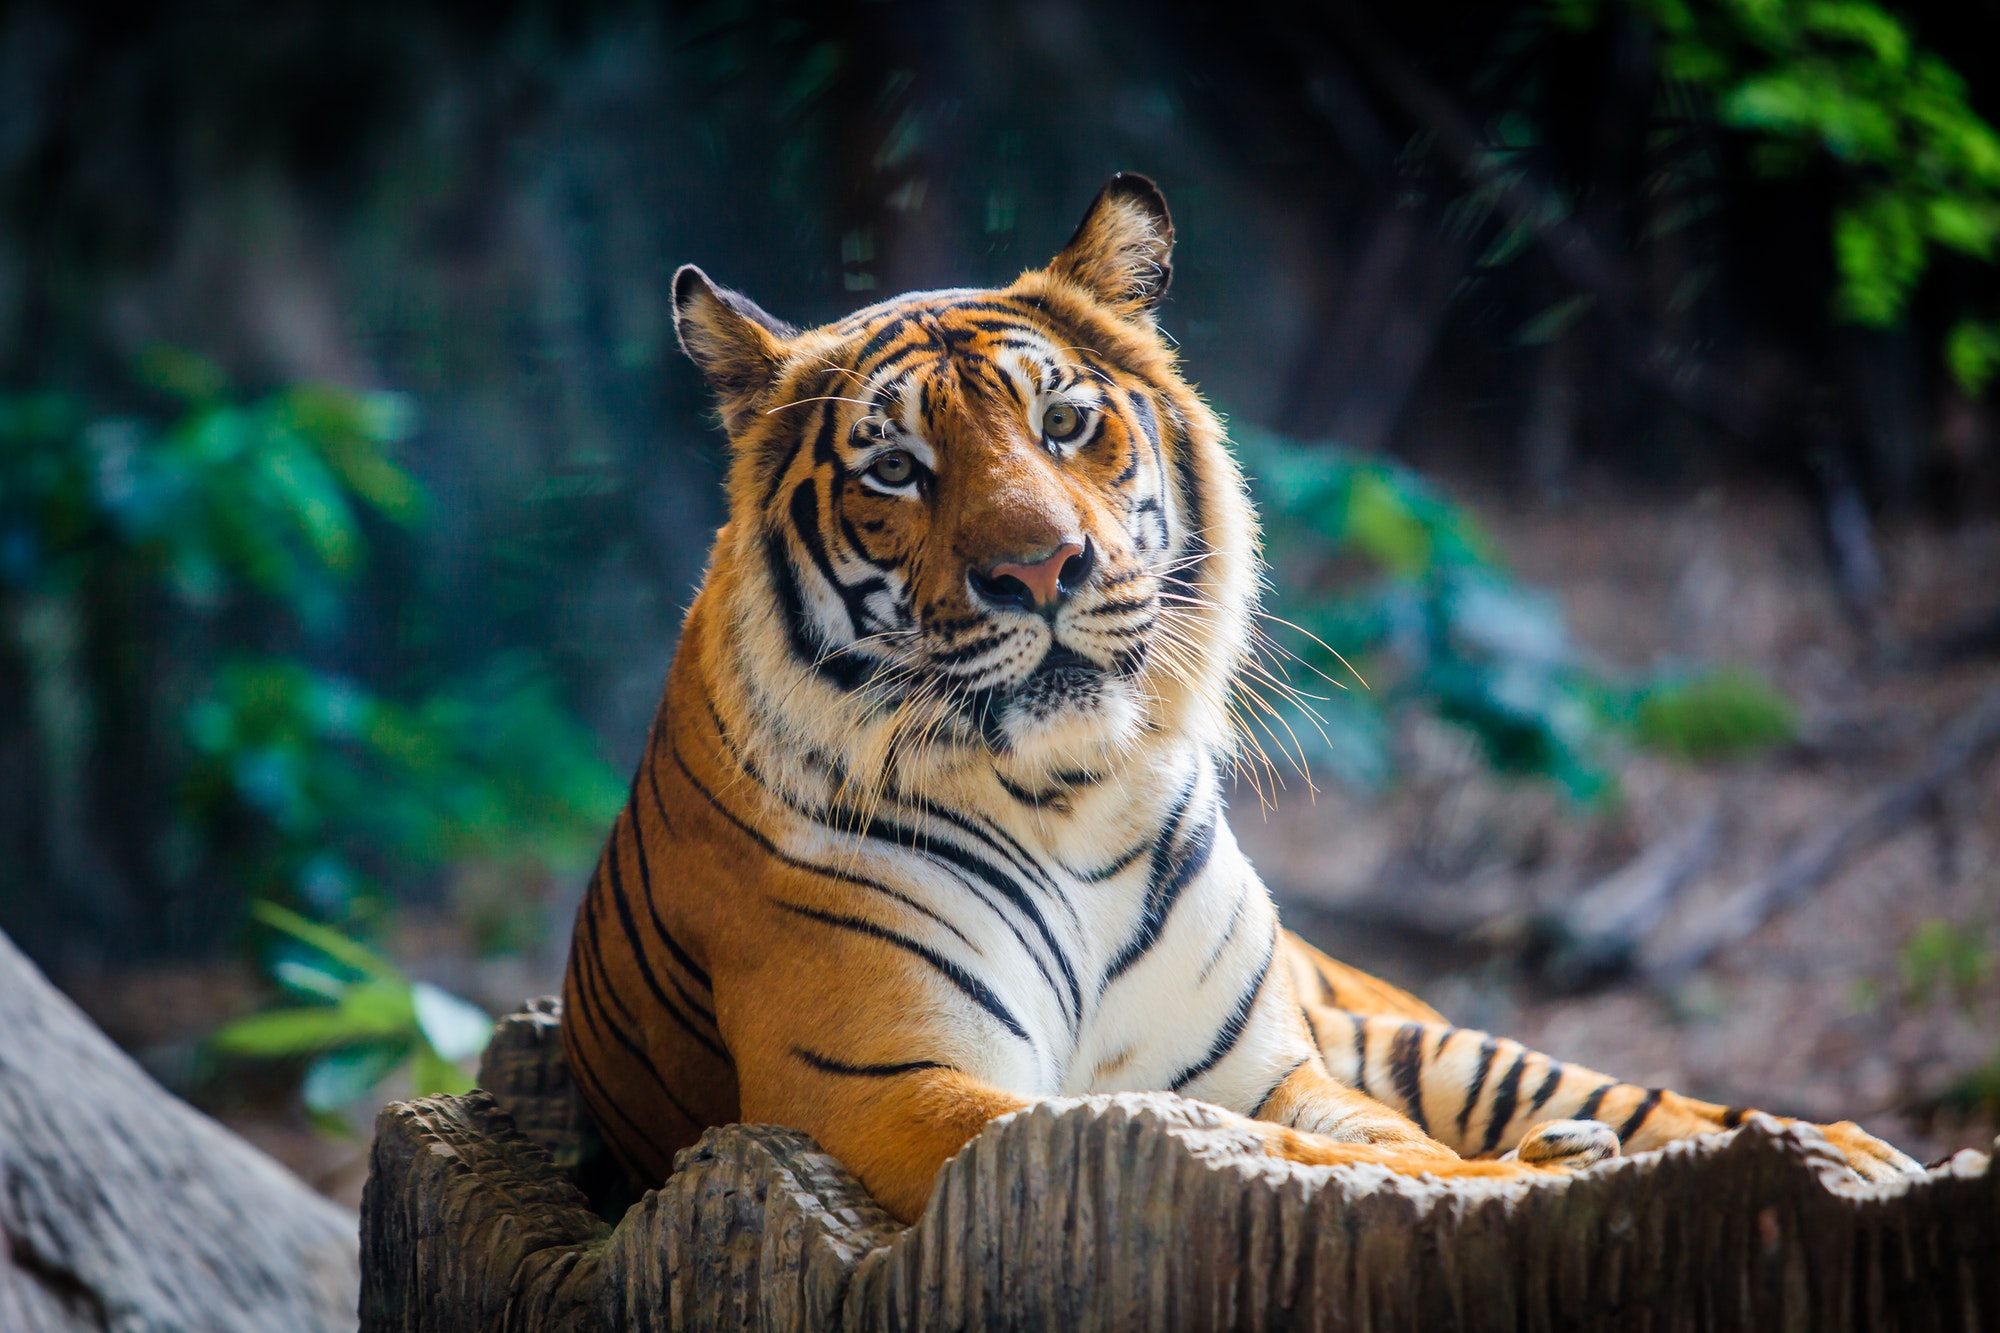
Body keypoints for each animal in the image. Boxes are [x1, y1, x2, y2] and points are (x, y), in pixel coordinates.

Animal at [559, 173, 1919, 1224]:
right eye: (895, 467)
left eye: (1063, 422)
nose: (1038, 570)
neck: (1065, 800)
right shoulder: (889, 1084)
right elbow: (1320, 1154)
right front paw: (1511, 1184)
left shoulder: (1264, 1061)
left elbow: (1365, 1139)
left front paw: (1517, 1168)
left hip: (1405, 1024)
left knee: (1615, 1092)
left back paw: (1843, 1152)